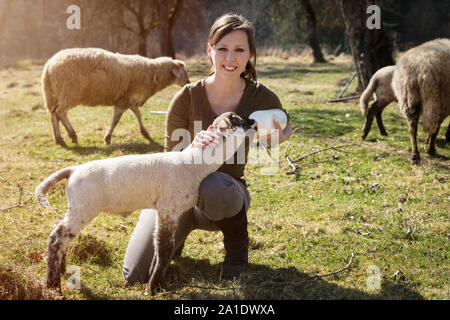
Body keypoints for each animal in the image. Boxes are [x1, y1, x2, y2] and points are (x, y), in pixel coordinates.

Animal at [33, 112, 255, 296]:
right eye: (237, 119)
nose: (253, 121)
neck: (195, 164)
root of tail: (73, 170)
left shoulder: (167, 211)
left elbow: (159, 246)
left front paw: (156, 281)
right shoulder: (168, 208)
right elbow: (165, 247)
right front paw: (153, 288)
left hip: (78, 208)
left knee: (62, 239)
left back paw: (61, 271)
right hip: (83, 208)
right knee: (57, 238)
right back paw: (53, 285)